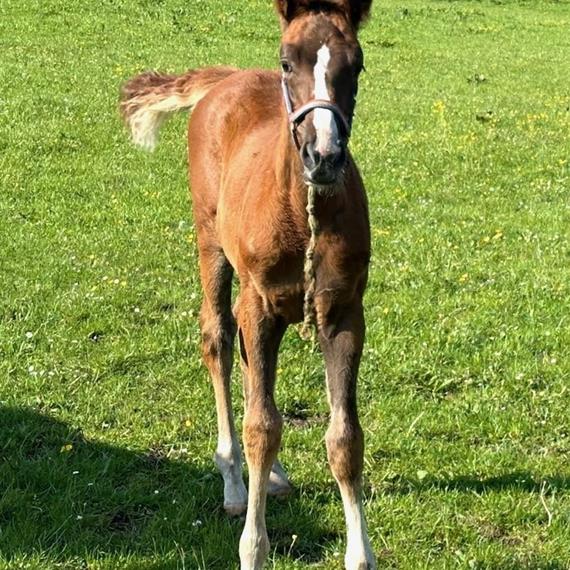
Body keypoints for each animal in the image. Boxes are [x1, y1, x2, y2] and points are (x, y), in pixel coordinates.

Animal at [121, 2, 372, 564]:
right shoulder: (259, 302)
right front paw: (253, 549)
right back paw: (235, 482)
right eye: (287, 61)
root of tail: (227, 78)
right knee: (218, 337)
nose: (323, 155)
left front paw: (360, 555)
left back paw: (272, 476)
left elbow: (344, 438)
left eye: (357, 65)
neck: (303, 212)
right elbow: (262, 426)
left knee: (248, 363)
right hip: (212, 243)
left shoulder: (345, 311)